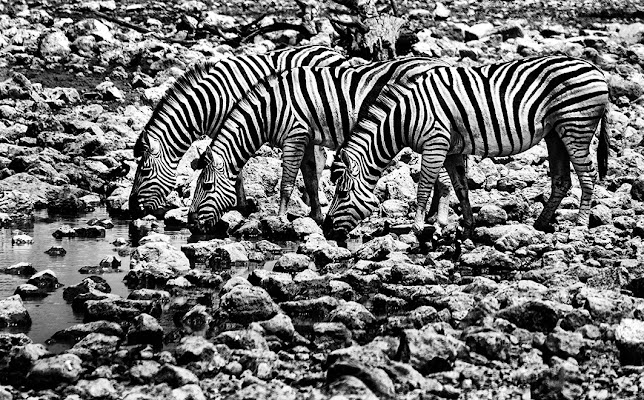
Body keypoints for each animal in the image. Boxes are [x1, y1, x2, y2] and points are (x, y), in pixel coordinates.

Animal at [127, 46, 344, 219]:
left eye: (144, 172)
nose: (131, 209)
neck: (211, 102)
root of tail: (333, 51)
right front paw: (241, 204)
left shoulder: (237, 125)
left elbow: (236, 170)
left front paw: (242, 205)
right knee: (319, 157)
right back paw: (309, 199)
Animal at [186, 55, 448, 231]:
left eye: (206, 186)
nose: (190, 223)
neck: (268, 111)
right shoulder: (307, 138)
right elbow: (311, 179)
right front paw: (317, 217)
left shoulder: (295, 135)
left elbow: (287, 183)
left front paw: (279, 218)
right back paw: (434, 218)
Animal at [324, 54, 612, 239]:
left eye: (343, 194)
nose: (326, 231)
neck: (403, 117)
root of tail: (597, 70)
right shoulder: (451, 151)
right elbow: (461, 188)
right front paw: (467, 228)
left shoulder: (435, 142)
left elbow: (423, 188)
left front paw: (417, 229)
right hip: (556, 132)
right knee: (562, 180)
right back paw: (540, 224)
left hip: (576, 126)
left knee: (588, 176)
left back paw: (580, 225)